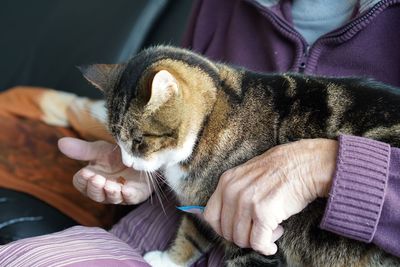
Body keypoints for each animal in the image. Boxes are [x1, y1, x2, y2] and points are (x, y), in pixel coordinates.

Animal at [79, 45, 400, 266]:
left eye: (138, 141)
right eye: (116, 139)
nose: (126, 162)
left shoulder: (252, 235)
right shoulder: (204, 208)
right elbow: (193, 232)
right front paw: (169, 260)